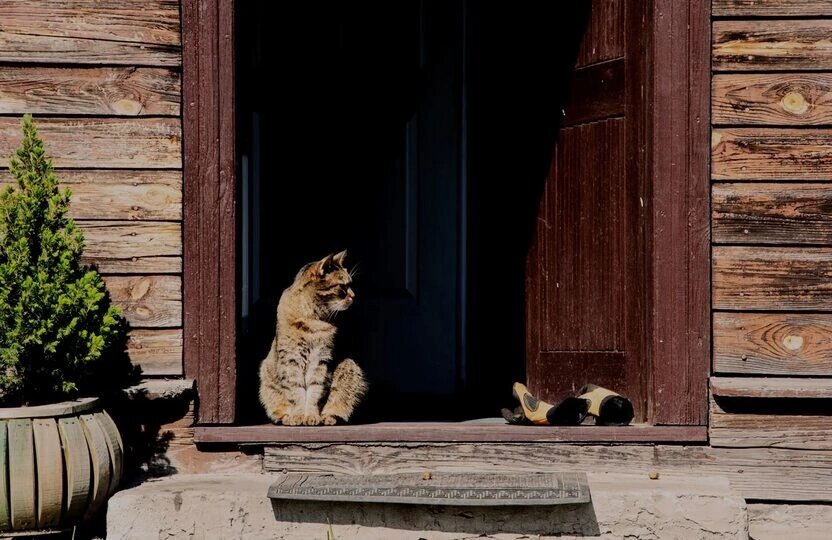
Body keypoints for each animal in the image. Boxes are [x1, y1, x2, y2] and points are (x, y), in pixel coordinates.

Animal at [256, 250, 368, 426]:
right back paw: (286, 417)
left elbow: (315, 391)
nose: (354, 296)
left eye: (350, 284)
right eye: (343, 286)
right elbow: (296, 392)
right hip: (266, 375)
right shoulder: (291, 359)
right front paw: (298, 416)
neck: (312, 318)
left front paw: (311, 416)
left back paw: (328, 417)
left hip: (350, 367)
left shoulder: (320, 360)